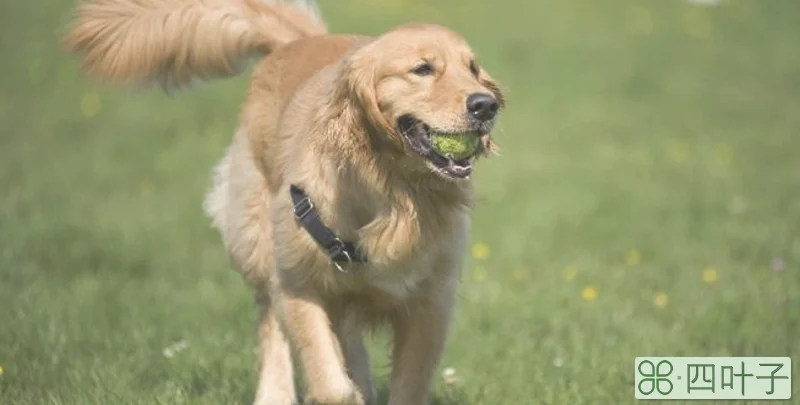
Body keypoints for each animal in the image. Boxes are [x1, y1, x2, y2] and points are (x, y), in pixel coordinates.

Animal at [62, 0, 504, 404]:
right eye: (423, 69)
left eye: (473, 68)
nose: (486, 104)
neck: (391, 190)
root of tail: (297, 41)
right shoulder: (298, 281)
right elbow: (330, 383)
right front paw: (338, 389)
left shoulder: (431, 300)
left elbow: (405, 385)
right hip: (256, 241)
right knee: (271, 324)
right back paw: (276, 394)